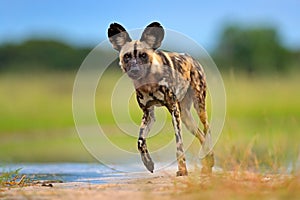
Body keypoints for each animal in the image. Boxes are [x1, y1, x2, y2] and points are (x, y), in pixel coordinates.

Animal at [108, 21, 213, 175]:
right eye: (127, 56)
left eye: (143, 55)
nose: (135, 70)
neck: (149, 83)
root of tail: (192, 58)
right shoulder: (148, 114)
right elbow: (140, 141)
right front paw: (148, 163)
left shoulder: (173, 110)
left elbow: (179, 144)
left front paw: (182, 170)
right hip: (186, 116)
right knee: (201, 135)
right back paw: (207, 164)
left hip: (199, 108)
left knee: (207, 130)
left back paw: (210, 161)